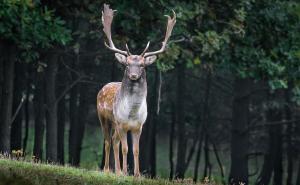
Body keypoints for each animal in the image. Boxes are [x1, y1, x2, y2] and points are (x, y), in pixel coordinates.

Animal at [96, 3, 176, 176]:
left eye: (142, 65)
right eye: (127, 64)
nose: (133, 75)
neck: (132, 113)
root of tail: (103, 87)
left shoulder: (139, 126)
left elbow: (136, 150)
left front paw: (137, 175)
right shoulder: (122, 124)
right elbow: (125, 149)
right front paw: (126, 172)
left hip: (115, 124)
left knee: (114, 141)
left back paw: (117, 171)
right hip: (104, 118)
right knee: (108, 140)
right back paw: (107, 170)